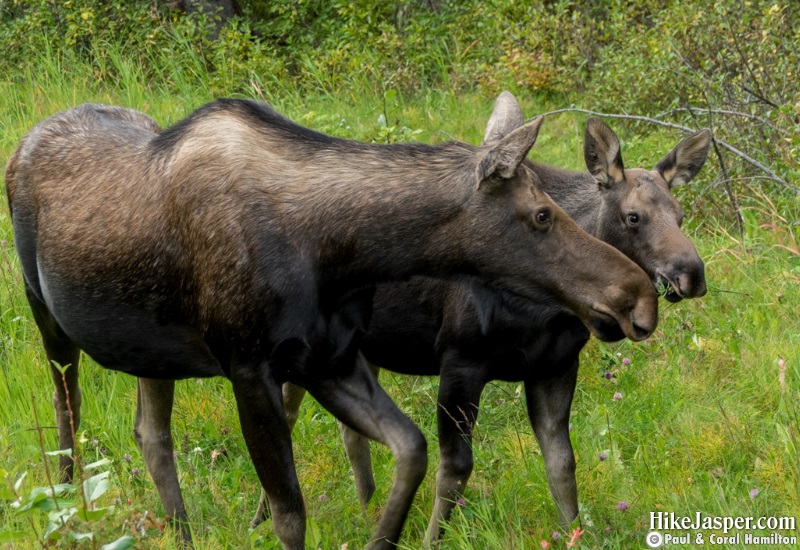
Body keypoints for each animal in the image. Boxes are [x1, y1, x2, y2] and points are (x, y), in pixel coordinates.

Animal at [6, 100, 656, 550]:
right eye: (542, 214)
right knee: (68, 413)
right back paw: (69, 508)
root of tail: (20, 146)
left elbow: (412, 450)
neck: (342, 251)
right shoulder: (250, 367)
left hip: (151, 351)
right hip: (47, 316)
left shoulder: (330, 359)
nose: (638, 296)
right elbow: (290, 511)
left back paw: (181, 533)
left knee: (150, 434)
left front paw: (380, 537)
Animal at [268, 91, 708, 544]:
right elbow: (455, 469)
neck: (550, 310)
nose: (692, 274)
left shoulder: (555, 367)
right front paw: (430, 540)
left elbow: (562, 465)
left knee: (347, 429)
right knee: (290, 411)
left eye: (680, 215)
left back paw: (365, 506)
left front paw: (572, 533)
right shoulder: (461, 362)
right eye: (633, 216)